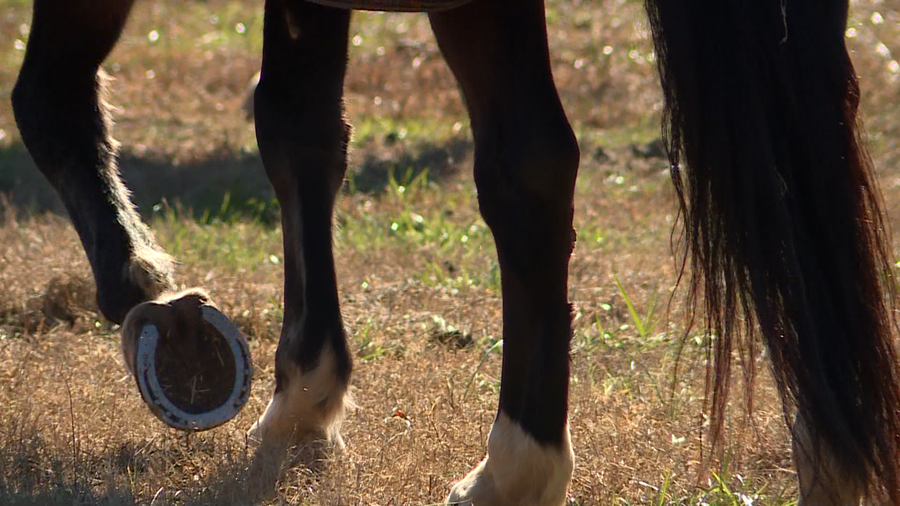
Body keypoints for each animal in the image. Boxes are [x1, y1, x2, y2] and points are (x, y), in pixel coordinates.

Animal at [11, 0, 900, 503]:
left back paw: (514, 470)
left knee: (529, 167)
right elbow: (303, 124)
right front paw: (304, 399)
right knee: (803, 154)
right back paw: (832, 449)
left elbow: (48, 96)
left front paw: (155, 302)